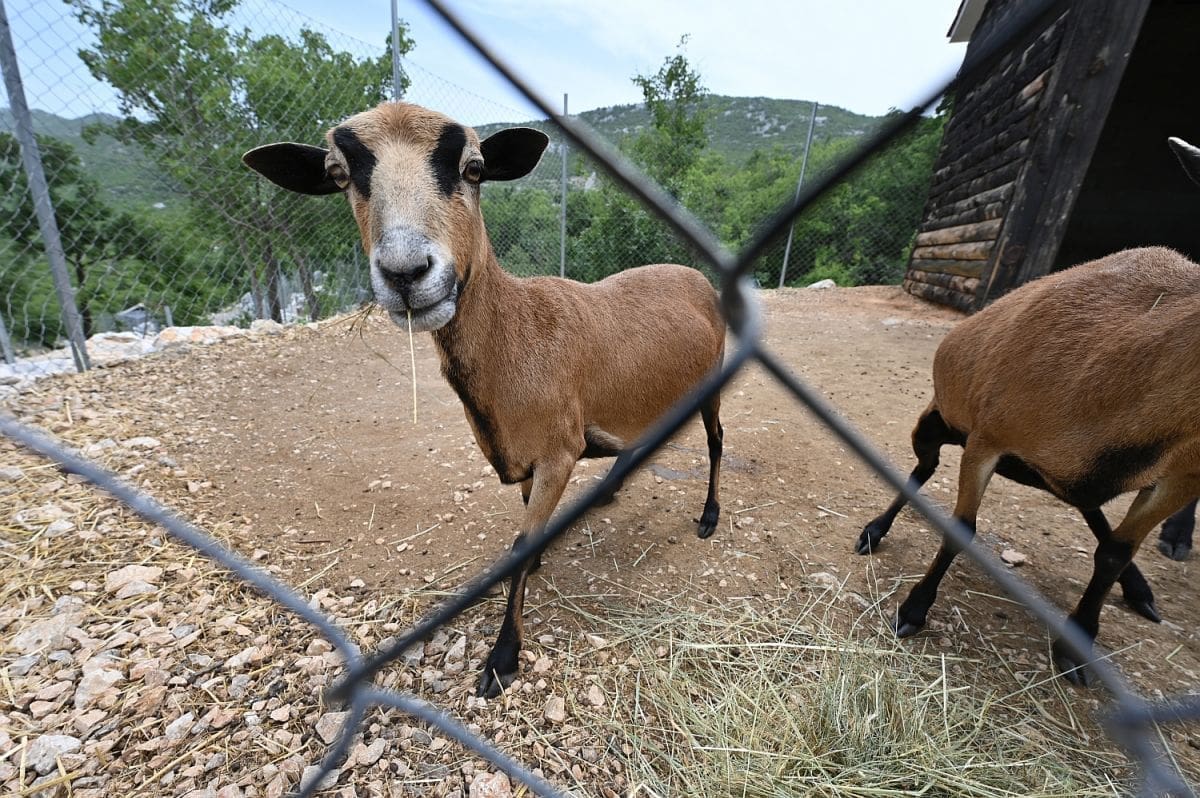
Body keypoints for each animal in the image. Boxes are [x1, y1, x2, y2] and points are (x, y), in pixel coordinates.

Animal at [242, 101, 726, 698]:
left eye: (474, 169)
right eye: (338, 175)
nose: (406, 273)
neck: (516, 333)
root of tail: (697, 276)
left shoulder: (558, 452)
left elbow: (519, 545)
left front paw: (503, 658)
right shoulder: (526, 455)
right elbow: (525, 531)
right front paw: (536, 565)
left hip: (712, 381)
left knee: (716, 441)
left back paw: (709, 516)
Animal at [856, 138, 1200, 685]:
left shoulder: (1181, 476)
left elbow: (1115, 552)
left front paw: (1079, 641)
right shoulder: (988, 439)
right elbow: (962, 529)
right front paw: (913, 609)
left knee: (1092, 512)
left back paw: (1139, 589)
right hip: (938, 424)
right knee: (923, 467)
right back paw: (874, 532)